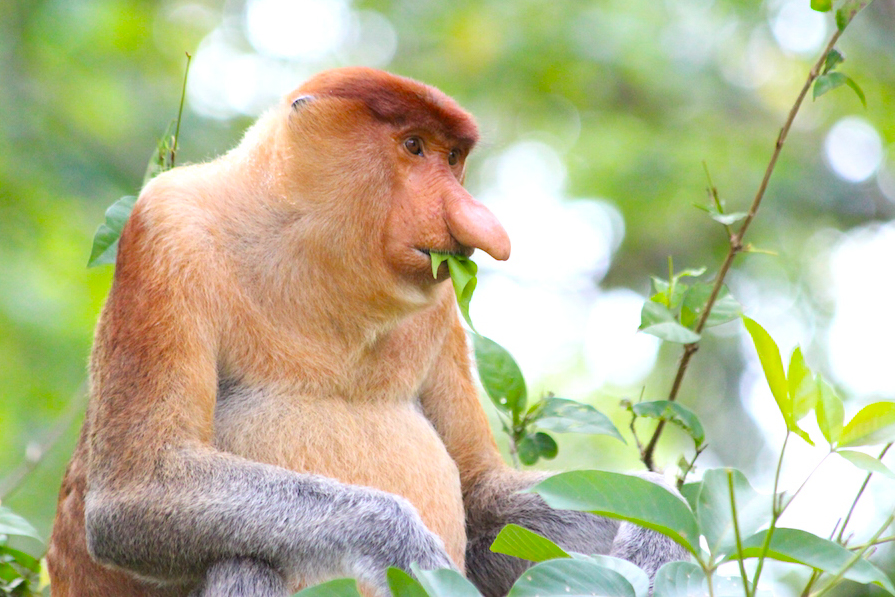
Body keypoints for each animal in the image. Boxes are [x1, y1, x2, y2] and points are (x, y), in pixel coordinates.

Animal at [47, 67, 687, 597]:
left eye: (453, 157)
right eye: (413, 146)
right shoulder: (166, 230)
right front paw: (408, 553)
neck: (306, 253)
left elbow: (481, 501)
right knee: (244, 558)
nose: (479, 224)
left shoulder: (439, 306)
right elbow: (135, 494)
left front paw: (662, 526)